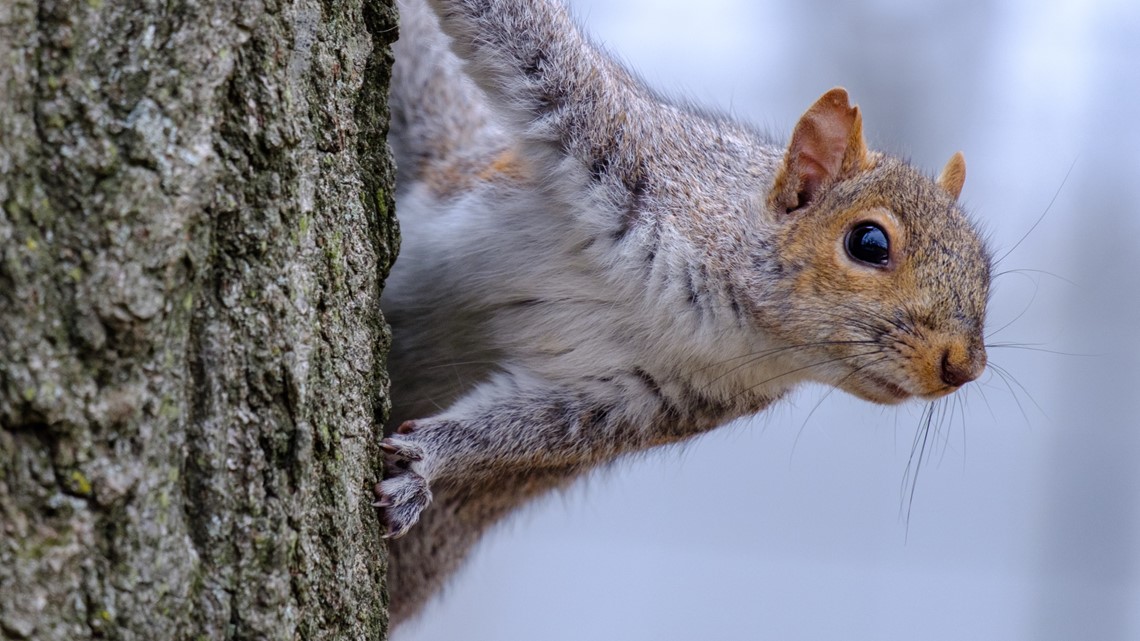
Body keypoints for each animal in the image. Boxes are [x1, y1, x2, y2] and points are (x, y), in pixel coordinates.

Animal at [378, 0, 994, 625]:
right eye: (869, 243)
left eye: (985, 268)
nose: (964, 368)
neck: (727, 319)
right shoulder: (619, 142)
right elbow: (521, 36)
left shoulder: (654, 399)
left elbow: (522, 430)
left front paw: (427, 460)